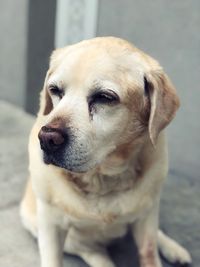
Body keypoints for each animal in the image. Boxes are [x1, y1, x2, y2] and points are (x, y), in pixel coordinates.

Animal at [19, 37, 191, 267]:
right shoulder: (50, 223)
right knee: (94, 253)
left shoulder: (146, 216)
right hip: (67, 237)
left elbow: (149, 251)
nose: (47, 139)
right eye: (55, 90)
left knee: (155, 234)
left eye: (104, 97)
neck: (102, 178)